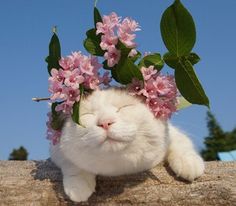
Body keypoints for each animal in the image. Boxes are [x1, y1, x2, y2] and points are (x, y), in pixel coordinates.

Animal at [50, 87, 205, 202]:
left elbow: (181, 143)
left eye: (124, 107)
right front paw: (78, 187)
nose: (105, 122)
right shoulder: (56, 150)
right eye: (87, 115)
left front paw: (189, 164)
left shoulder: (171, 134)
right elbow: (71, 163)